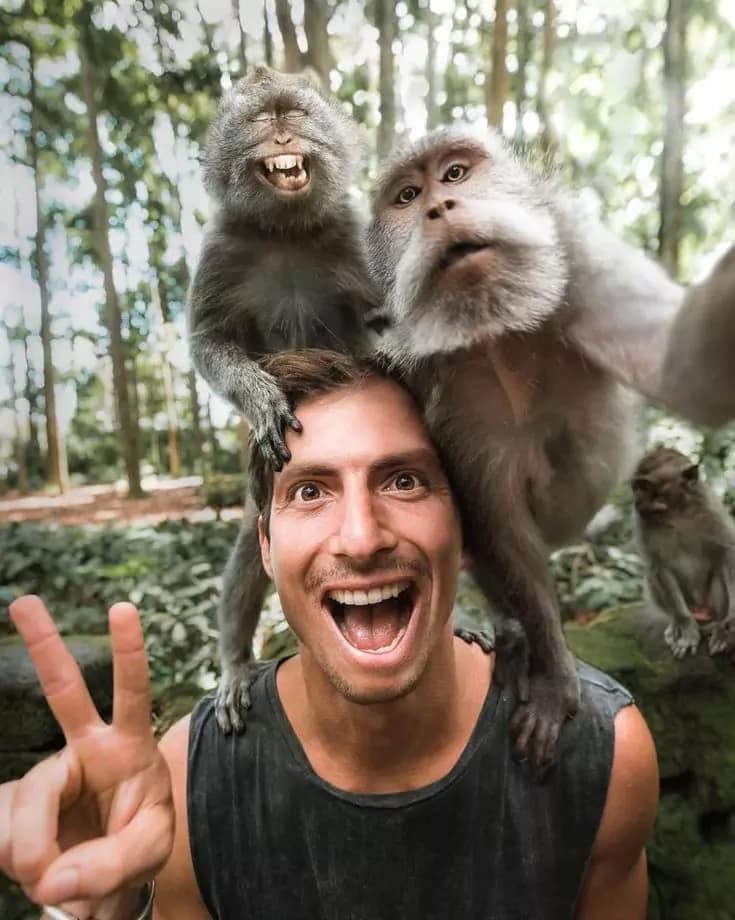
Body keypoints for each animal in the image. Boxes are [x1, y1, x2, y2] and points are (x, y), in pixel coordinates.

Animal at [187, 66, 377, 733]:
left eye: (293, 112)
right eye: (259, 119)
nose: (282, 133)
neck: (288, 228)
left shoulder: (354, 233)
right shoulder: (221, 246)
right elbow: (208, 341)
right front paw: (261, 395)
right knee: (251, 551)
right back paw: (236, 664)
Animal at [633, 446, 735, 660]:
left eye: (645, 485)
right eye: (636, 486)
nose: (636, 500)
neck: (677, 513)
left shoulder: (712, 511)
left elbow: (728, 553)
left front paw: (730, 619)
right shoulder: (642, 522)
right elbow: (658, 566)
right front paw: (687, 629)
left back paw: (717, 625)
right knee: (651, 575)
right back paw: (676, 624)